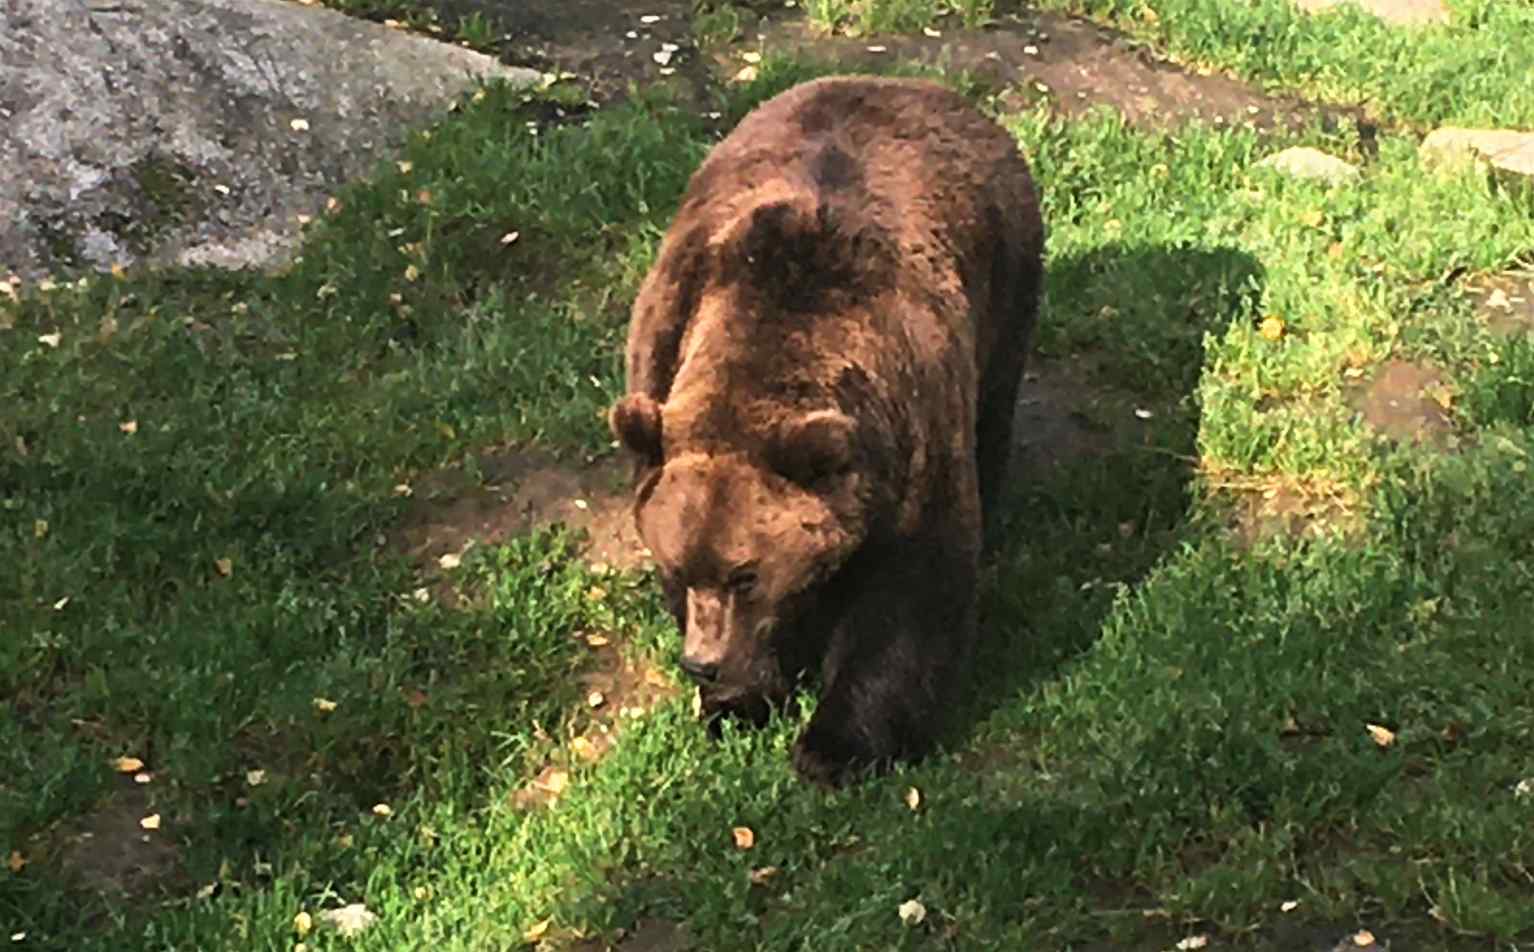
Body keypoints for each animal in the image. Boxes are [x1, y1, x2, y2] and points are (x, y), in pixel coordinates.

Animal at [604, 76, 1049, 784]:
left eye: (745, 574)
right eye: (678, 566)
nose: (701, 662)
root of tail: (920, 87)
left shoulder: (910, 421)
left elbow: (910, 585)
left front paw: (836, 747)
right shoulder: (663, 349)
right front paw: (737, 702)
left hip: (1008, 290)